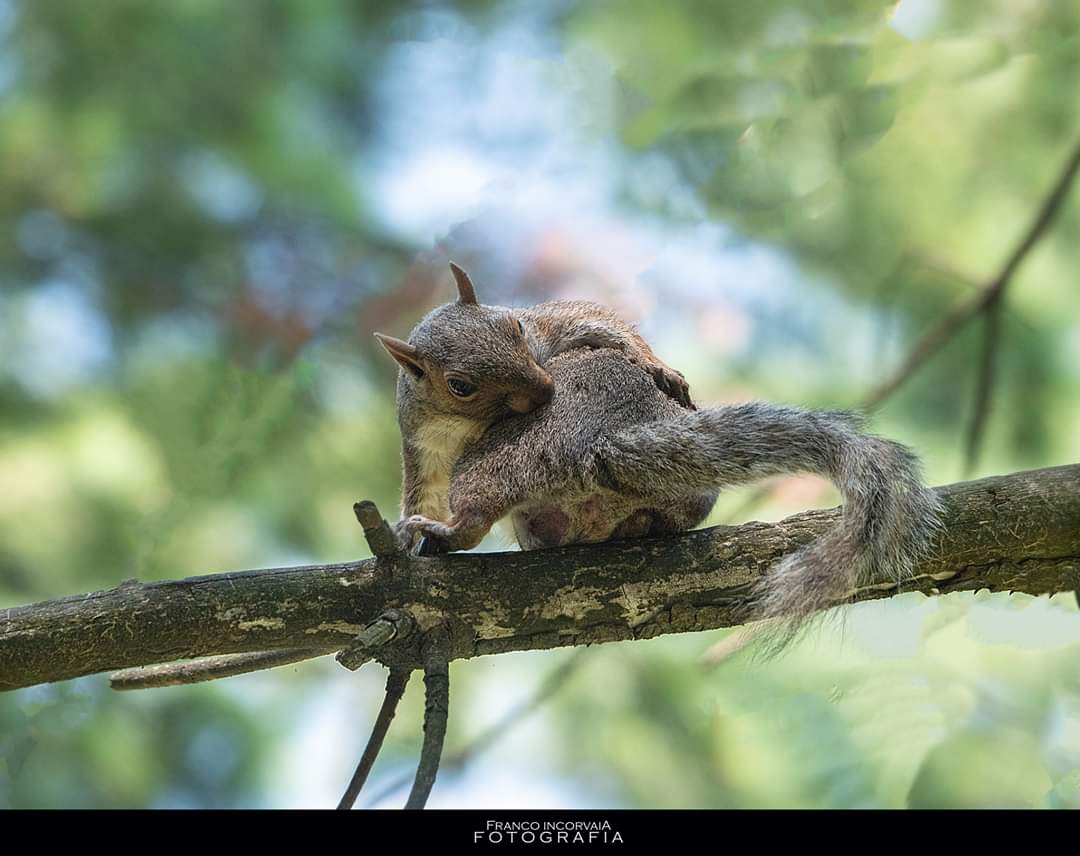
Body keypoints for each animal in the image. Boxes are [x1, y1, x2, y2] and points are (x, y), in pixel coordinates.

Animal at [375, 262, 694, 548]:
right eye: (459, 386)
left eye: (516, 325)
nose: (545, 389)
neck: (473, 420)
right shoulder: (425, 443)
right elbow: (426, 493)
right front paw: (403, 535)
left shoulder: (545, 325)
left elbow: (598, 320)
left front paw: (660, 368)